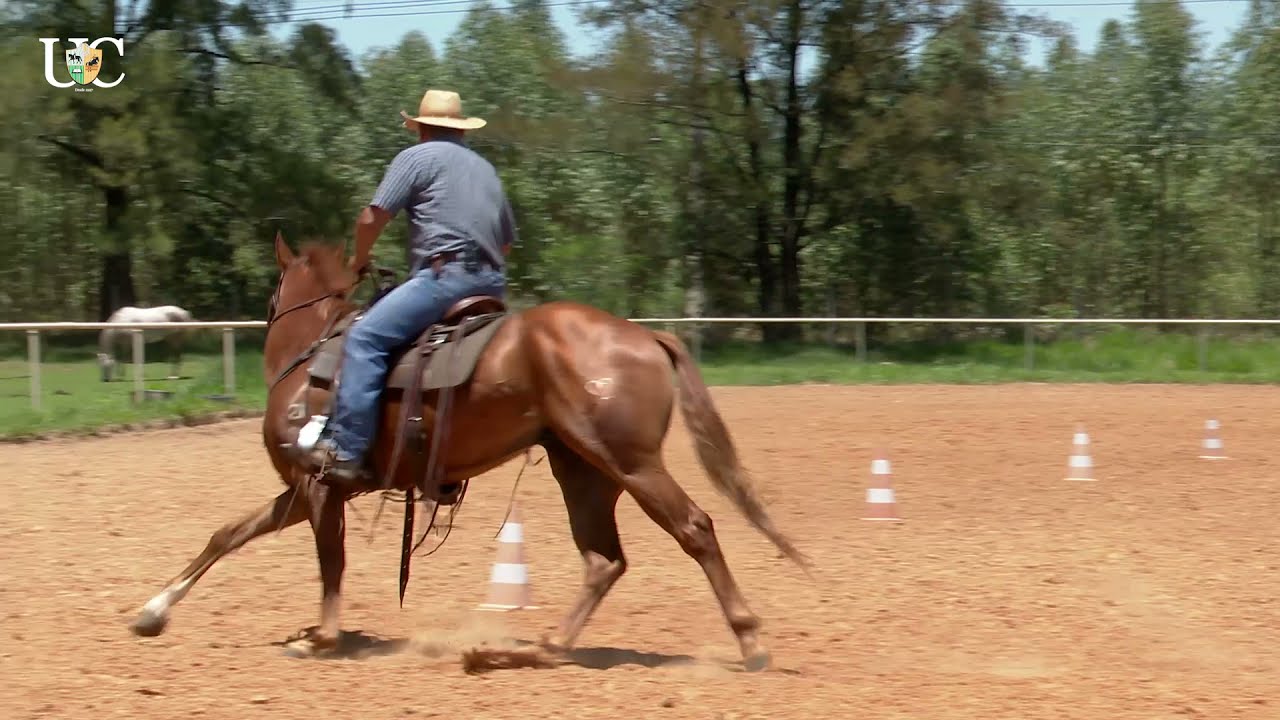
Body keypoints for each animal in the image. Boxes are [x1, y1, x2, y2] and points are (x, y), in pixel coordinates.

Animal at [127, 233, 808, 671]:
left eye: (275, 290)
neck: (313, 357)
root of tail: (645, 336)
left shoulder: (321, 485)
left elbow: (330, 566)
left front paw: (320, 637)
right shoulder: (310, 487)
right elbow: (229, 533)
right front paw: (152, 612)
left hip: (632, 464)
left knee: (693, 528)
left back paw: (749, 641)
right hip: (583, 470)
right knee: (602, 561)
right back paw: (525, 650)